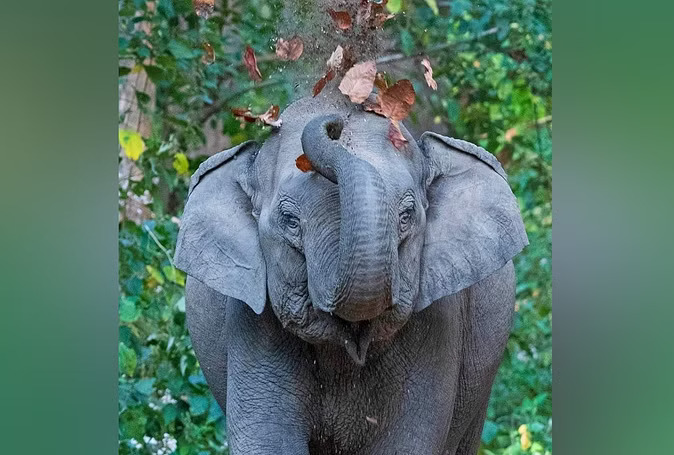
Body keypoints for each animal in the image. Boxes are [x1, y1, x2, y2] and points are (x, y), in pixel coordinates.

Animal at [172, 93, 524, 455]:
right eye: (290, 220)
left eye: (407, 215)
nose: (336, 121)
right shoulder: (250, 324)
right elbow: (265, 441)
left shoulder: (439, 327)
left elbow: (408, 444)